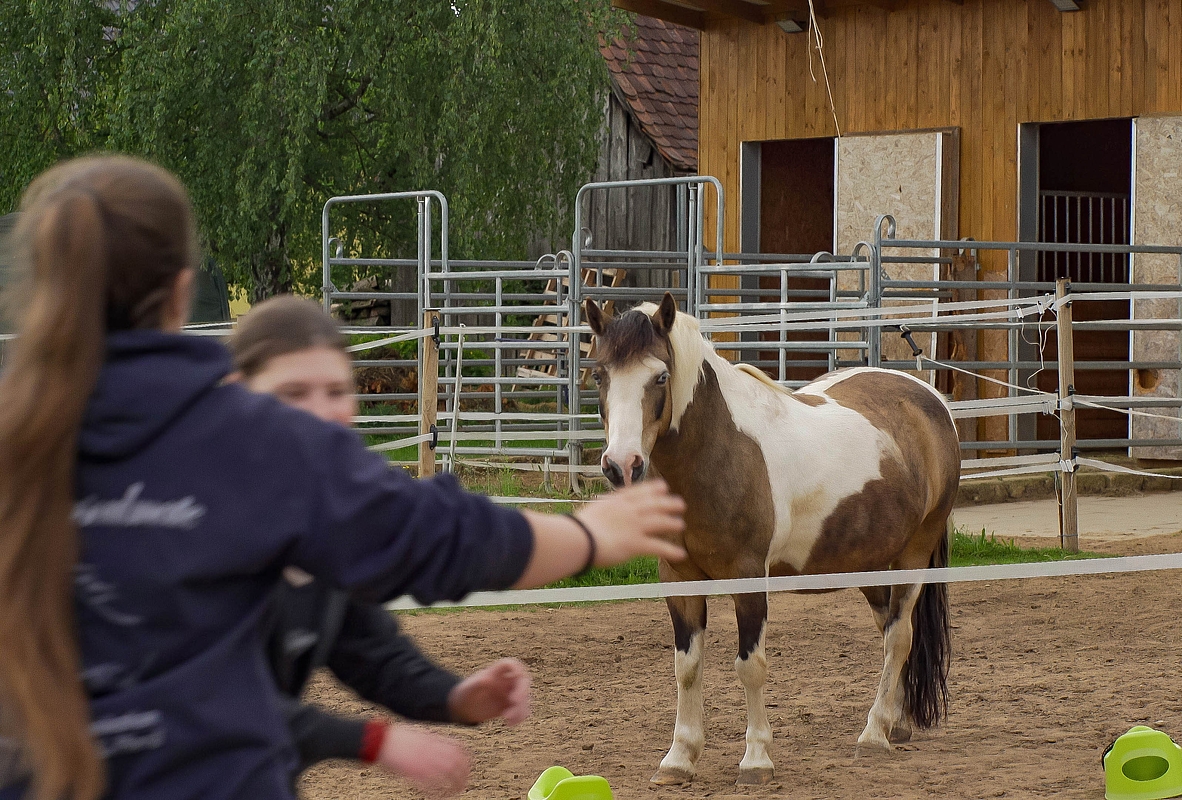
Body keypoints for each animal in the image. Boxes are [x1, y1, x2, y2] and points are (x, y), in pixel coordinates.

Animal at [583, 292, 960, 786]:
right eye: (599, 374)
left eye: (660, 376)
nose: (621, 465)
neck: (719, 452)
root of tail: (930, 398)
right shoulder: (678, 576)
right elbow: (687, 667)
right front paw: (679, 758)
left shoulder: (748, 578)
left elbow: (751, 666)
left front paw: (756, 758)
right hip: (871, 563)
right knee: (890, 635)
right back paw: (896, 723)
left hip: (914, 554)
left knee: (899, 637)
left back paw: (874, 734)